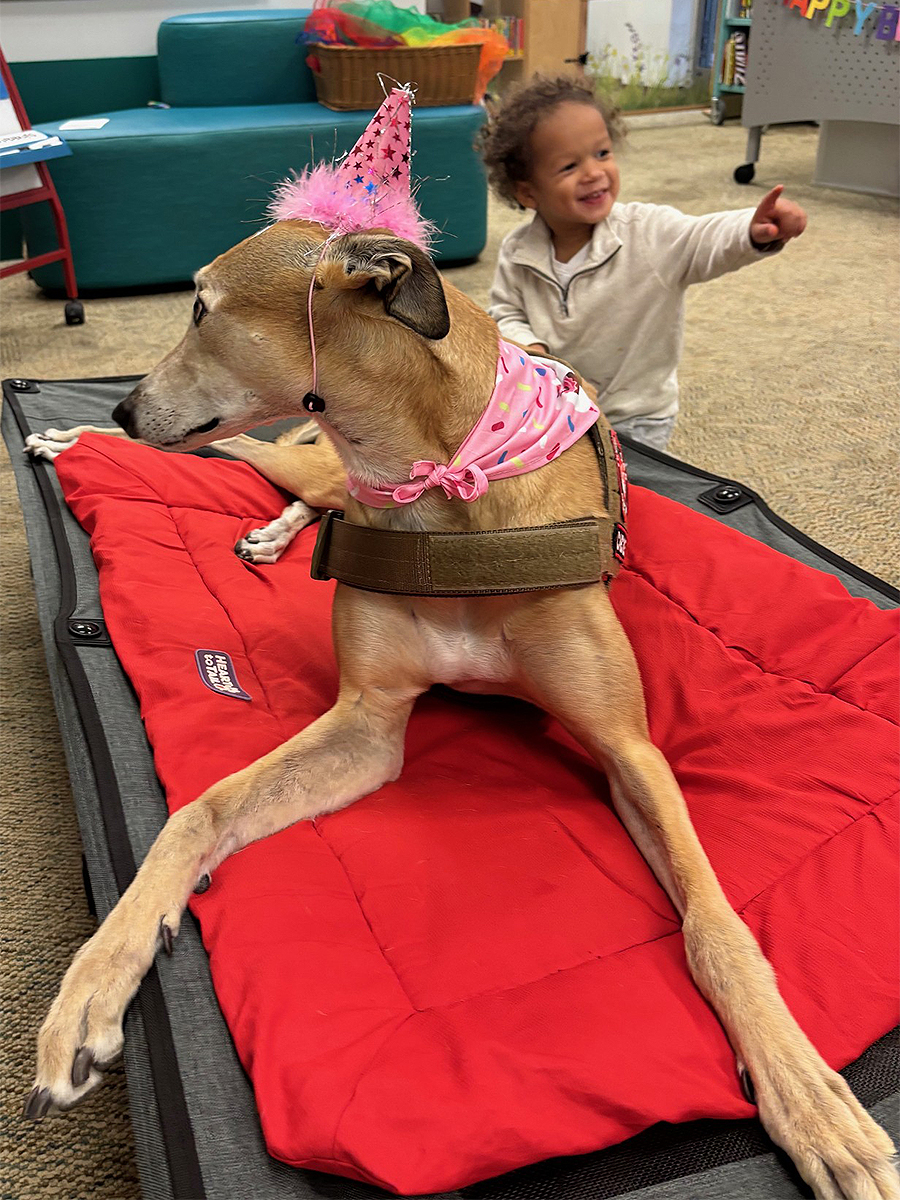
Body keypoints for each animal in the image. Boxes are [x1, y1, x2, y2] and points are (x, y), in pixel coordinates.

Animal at [24, 218, 897, 1200]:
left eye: (203, 309)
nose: (130, 407)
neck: (442, 492)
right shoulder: (369, 724)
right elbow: (200, 810)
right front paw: (95, 984)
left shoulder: (629, 750)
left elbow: (714, 924)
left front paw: (812, 1101)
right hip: (294, 459)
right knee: (251, 457)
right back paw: (75, 439)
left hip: (304, 471)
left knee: (277, 475)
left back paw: (232, 510)